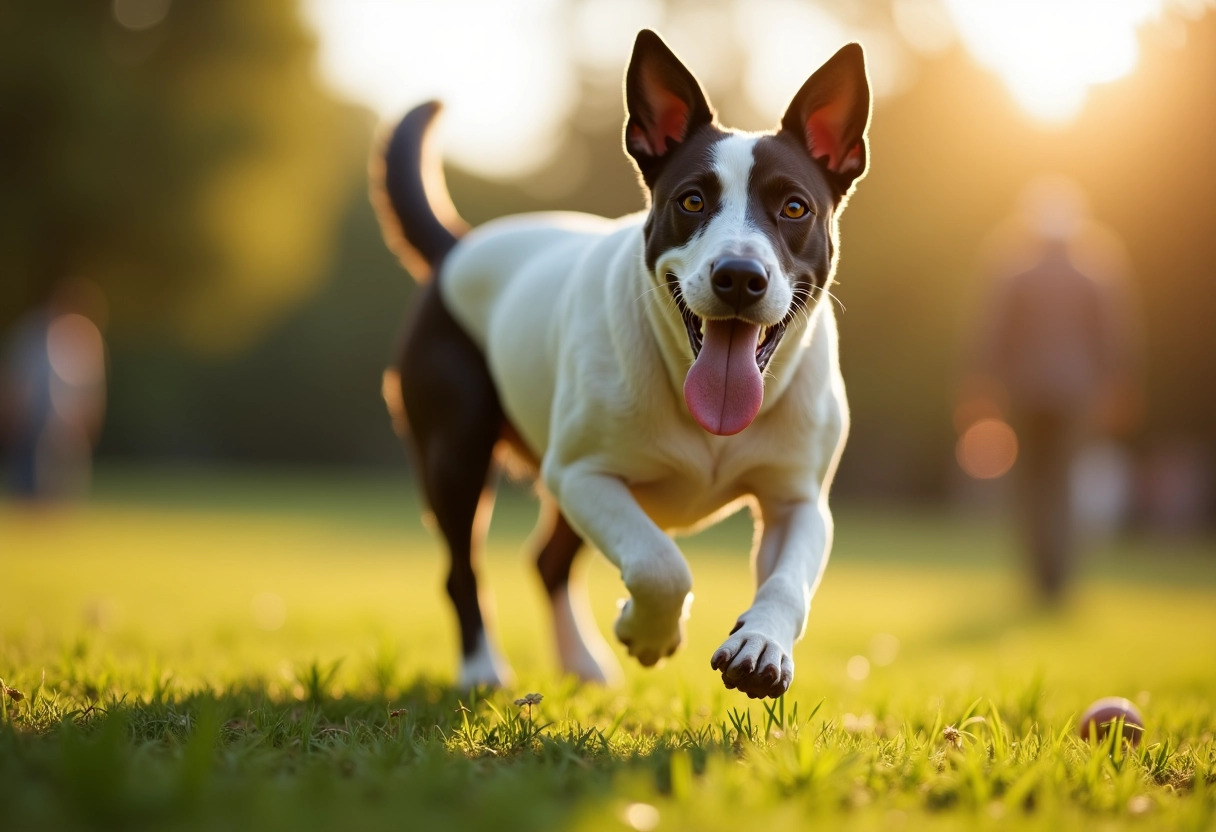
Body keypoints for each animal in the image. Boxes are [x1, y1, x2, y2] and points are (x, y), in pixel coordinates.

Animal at [374, 29, 870, 700]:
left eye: (794, 208)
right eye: (692, 200)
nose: (740, 275)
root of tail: (459, 246)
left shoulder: (797, 500)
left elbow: (787, 580)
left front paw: (761, 644)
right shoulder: (583, 474)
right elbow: (659, 563)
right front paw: (648, 631)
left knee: (549, 561)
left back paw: (580, 663)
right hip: (458, 448)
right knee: (464, 567)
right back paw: (481, 670)